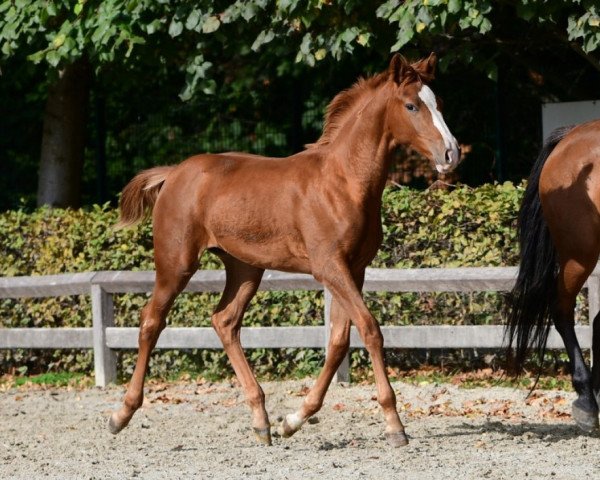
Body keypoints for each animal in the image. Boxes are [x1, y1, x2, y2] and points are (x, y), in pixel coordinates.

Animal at [110, 54, 462, 448]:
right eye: (411, 105)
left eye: (439, 102)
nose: (451, 153)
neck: (343, 182)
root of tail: (173, 174)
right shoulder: (330, 268)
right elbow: (370, 329)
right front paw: (394, 425)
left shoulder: (353, 270)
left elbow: (339, 341)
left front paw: (293, 420)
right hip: (176, 264)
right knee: (151, 321)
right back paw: (121, 414)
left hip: (246, 269)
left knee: (225, 321)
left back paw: (262, 421)